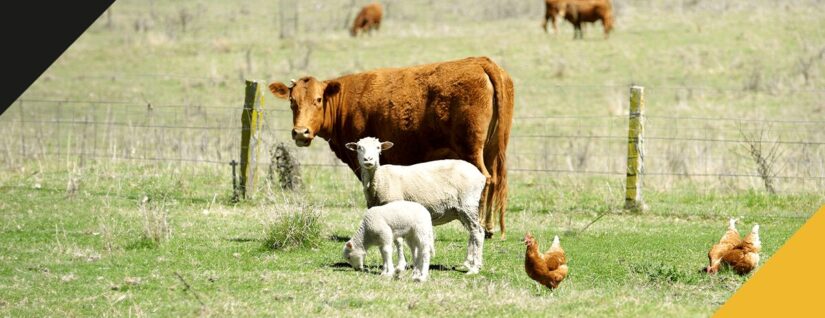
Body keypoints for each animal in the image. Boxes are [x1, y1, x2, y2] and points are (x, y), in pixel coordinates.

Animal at [268, 56, 512, 238]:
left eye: (318, 99)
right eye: (292, 102)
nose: (301, 132)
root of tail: (480, 62)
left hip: (471, 149)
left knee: (485, 179)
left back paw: (479, 226)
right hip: (491, 149)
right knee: (494, 180)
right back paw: (489, 227)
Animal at [344, 137, 486, 274]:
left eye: (378, 147)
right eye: (359, 147)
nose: (368, 160)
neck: (379, 179)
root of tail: (480, 175)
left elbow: (398, 241)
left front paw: (401, 265)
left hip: (468, 204)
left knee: (478, 232)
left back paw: (475, 268)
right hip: (460, 210)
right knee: (472, 232)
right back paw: (467, 263)